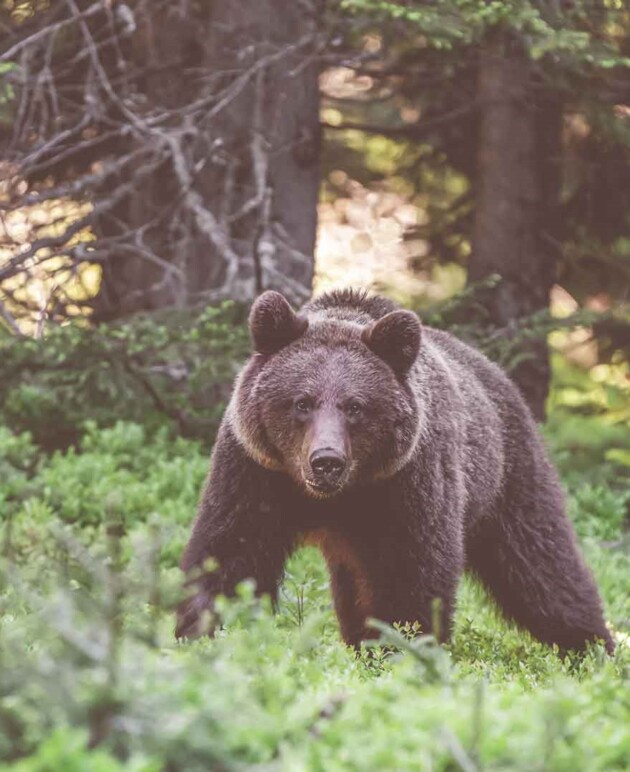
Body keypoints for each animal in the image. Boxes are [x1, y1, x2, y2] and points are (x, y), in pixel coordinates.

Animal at [178, 286, 616, 656]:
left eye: (355, 406)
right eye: (302, 402)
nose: (326, 460)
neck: (337, 496)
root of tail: (495, 371)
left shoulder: (407, 481)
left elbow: (413, 573)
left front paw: (401, 650)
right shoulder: (256, 470)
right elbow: (231, 554)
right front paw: (201, 635)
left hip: (507, 473)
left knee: (542, 563)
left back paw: (593, 648)